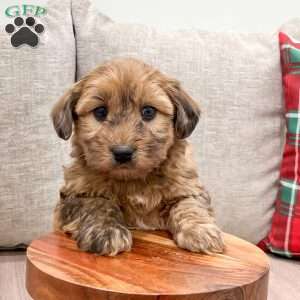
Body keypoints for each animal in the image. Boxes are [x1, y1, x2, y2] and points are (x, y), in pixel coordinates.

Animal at [52, 58, 225, 255]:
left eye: (148, 112)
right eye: (100, 112)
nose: (123, 153)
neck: (133, 180)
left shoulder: (188, 187)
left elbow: (189, 205)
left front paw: (201, 231)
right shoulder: (74, 194)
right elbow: (97, 204)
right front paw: (106, 230)